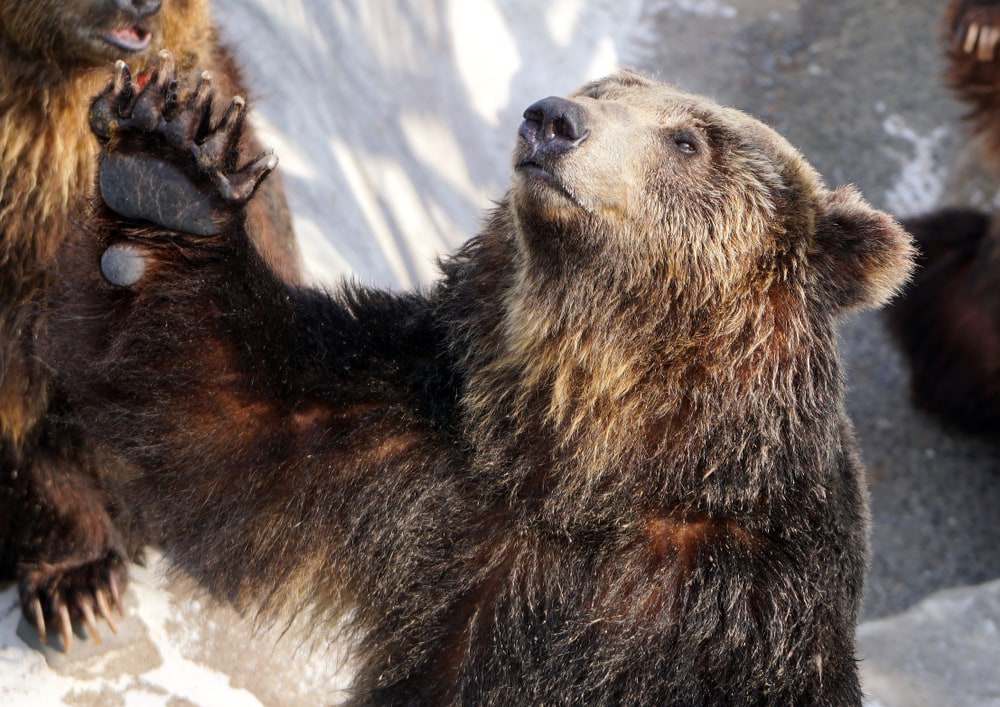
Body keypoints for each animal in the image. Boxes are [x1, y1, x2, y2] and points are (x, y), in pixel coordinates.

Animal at [49, 56, 914, 704]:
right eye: (601, 89)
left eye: (688, 139)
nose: (553, 118)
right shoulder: (428, 454)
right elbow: (222, 407)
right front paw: (168, 161)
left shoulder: (737, 615)